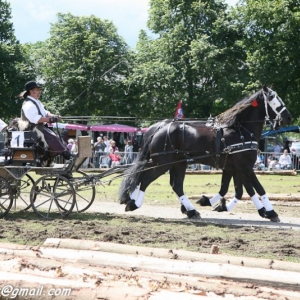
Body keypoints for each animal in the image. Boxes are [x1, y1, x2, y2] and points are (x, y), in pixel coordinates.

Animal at [120, 86, 292, 220]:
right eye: (274, 99)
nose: (288, 117)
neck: (240, 130)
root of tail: (159, 128)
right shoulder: (245, 167)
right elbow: (257, 188)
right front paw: (271, 212)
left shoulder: (234, 168)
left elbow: (237, 190)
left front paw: (213, 203)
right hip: (163, 163)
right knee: (145, 179)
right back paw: (134, 203)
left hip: (176, 163)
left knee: (173, 185)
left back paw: (190, 211)